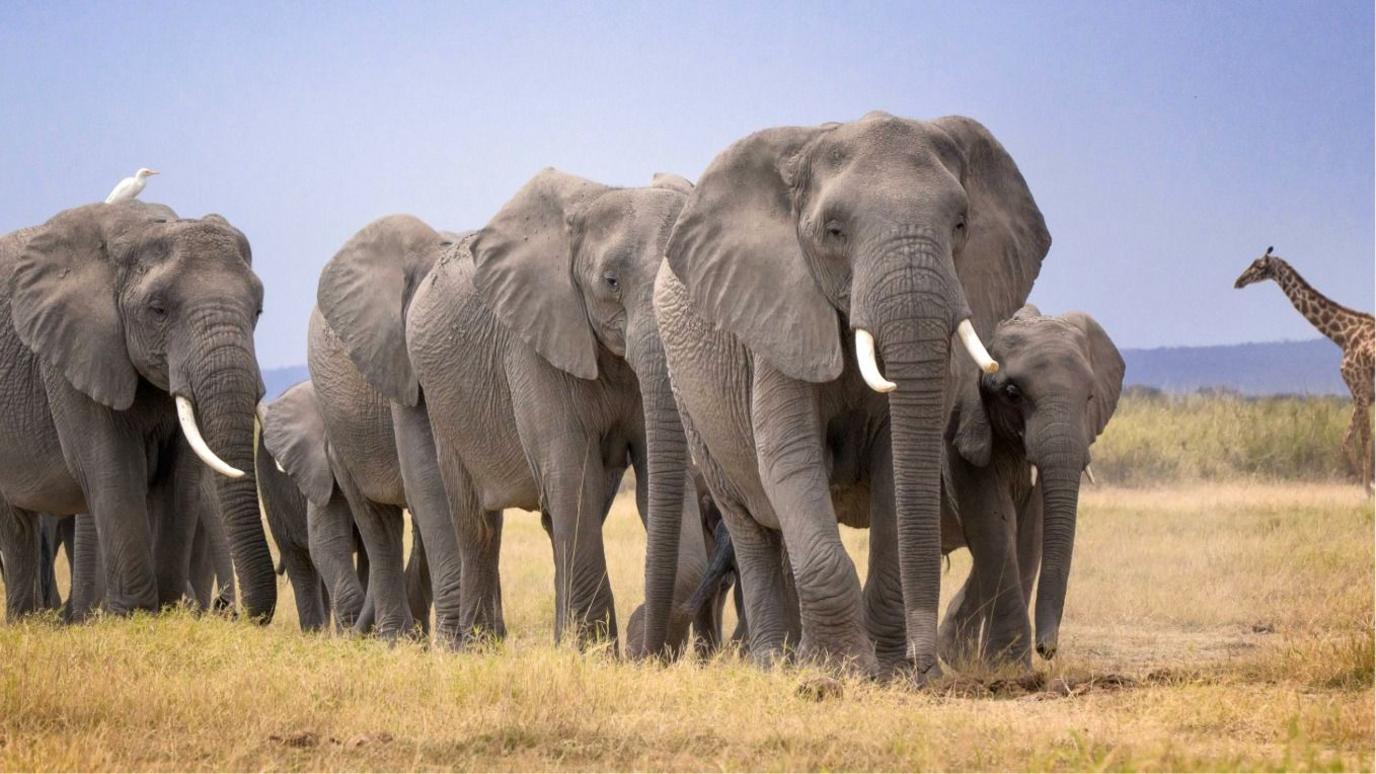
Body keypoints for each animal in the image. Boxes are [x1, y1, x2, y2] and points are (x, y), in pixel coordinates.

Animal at [0, 201, 276, 620]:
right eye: (158, 309)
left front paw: (167, 611)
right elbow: (113, 470)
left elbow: (180, 480)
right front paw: (134, 615)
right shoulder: (74, 354)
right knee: (15, 526)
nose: (230, 610)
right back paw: (27, 621)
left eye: (258, 311)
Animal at [314, 170, 700, 653]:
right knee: (469, 521)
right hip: (437, 402)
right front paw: (595, 653)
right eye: (611, 282)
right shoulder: (531, 346)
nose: (642, 645)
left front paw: (610, 648)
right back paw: (470, 647)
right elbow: (570, 474)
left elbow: (663, 473)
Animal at [654, 112, 1050, 680]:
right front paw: (838, 670)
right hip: (691, 404)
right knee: (751, 523)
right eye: (834, 232)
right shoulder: (779, 313)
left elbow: (894, 466)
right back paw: (774, 665)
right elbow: (791, 457)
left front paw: (887, 673)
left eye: (960, 225)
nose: (927, 670)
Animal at [941, 305, 1124, 665]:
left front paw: (1002, 664)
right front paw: (1007, 665)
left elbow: (1031, 528)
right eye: (1012, 394)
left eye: (1090, 396)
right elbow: (993, 522)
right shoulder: (964, 429)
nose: (1047, 649)